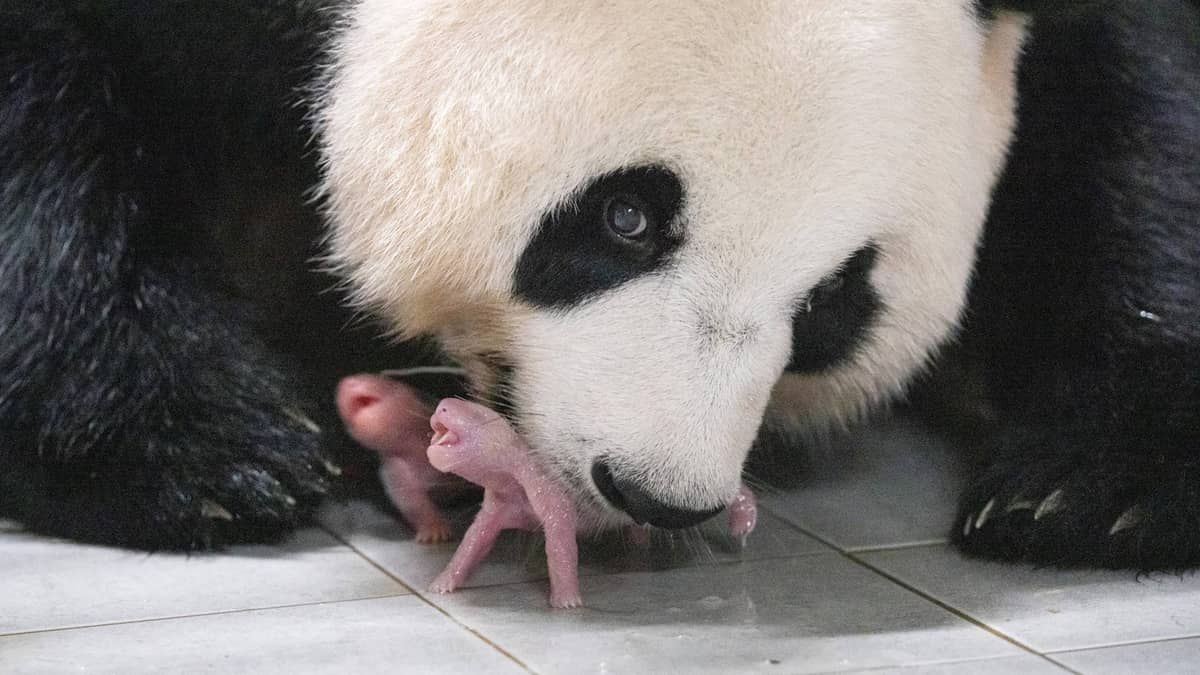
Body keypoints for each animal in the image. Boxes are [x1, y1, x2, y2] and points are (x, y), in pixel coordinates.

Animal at [2, 1, 1198, 570]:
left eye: (833, 304)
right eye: (626, 218)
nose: (657, 493)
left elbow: (1131, 118)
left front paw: (1094, 486)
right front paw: (197, 449)